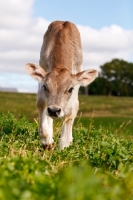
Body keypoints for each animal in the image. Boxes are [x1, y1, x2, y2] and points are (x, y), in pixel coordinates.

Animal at [25, 21, 97, 150]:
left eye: (70, 89)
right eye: (45, 87)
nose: (54, 110)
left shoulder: (75, 93)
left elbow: (70, 115)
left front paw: (64, 147)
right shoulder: (41, 89)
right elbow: (42, 107)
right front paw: (47, 142)